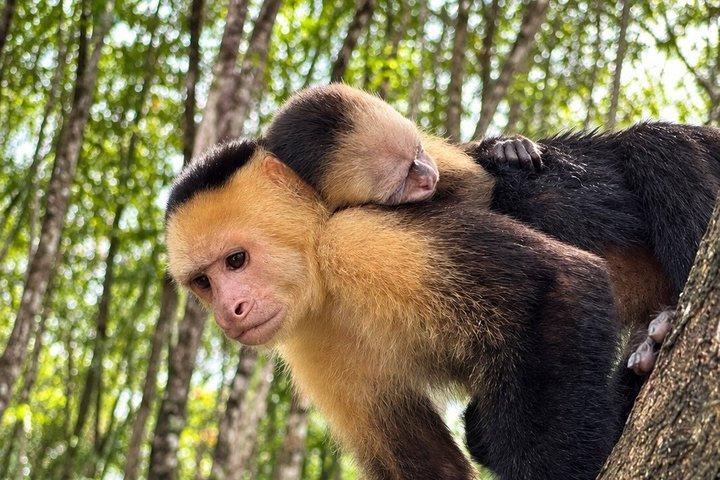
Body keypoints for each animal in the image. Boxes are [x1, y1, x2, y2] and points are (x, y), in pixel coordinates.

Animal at [166, 139, 627, 480]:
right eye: (204, 282)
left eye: (236, 260)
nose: (230, 310)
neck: (325, 283)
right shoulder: (309, 343)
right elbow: (425, 464)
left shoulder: (357, 240)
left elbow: (562, 281)